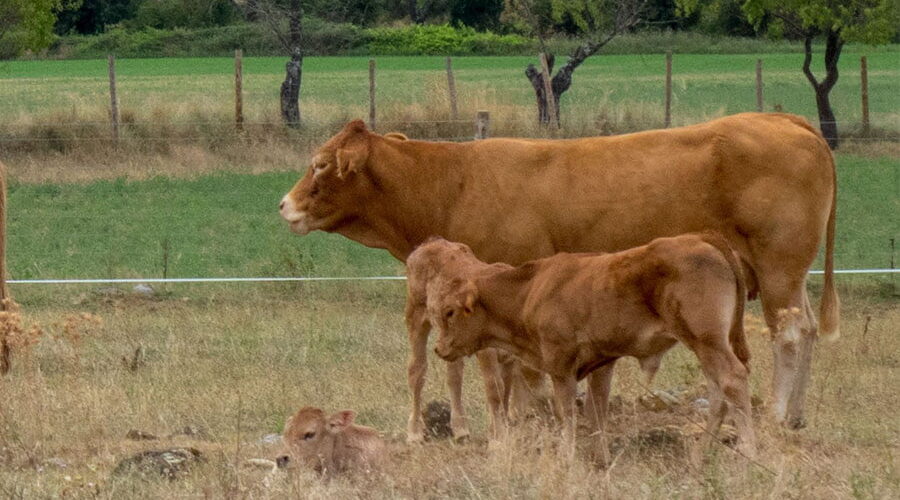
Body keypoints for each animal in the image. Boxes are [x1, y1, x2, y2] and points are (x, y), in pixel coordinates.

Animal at [280, 111, 836, 436]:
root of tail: (784, 120)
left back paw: (777, 415)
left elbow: (513, 370)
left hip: (779, 266)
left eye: (321, 163)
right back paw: (797, 416)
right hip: (791, 273)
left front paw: (526, 419)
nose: (284, 204)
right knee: (807, 329)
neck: (455, 181)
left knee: (788, 334)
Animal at [410, 232, 760, 462]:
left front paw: (567, 455)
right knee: (718, 392)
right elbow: (597, 411)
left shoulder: (560, 365)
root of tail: (703, 238)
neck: (531, 290)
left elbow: (567, 413)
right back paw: (701, 453)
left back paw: (747, 449)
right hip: (707, 346)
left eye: (450, 311)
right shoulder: (602, 363)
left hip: (707, 342)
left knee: (732, 380)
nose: (440, 349)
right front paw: (600, 457)